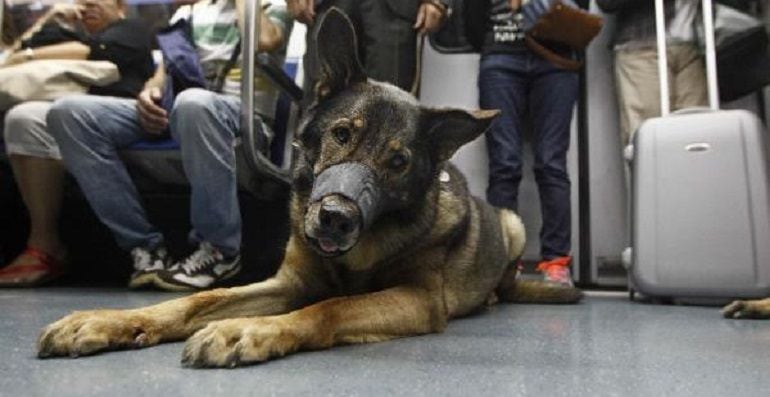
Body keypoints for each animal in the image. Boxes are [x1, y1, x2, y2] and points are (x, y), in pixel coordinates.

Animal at [34, 10, 576, 368]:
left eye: (398, 162)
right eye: (342, 134)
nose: (336, 217)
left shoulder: (418, 299)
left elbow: (330, 306)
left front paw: (250, 330)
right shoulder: (289, 283)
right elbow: (198, 302)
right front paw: (108, 321)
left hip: (513, 222)